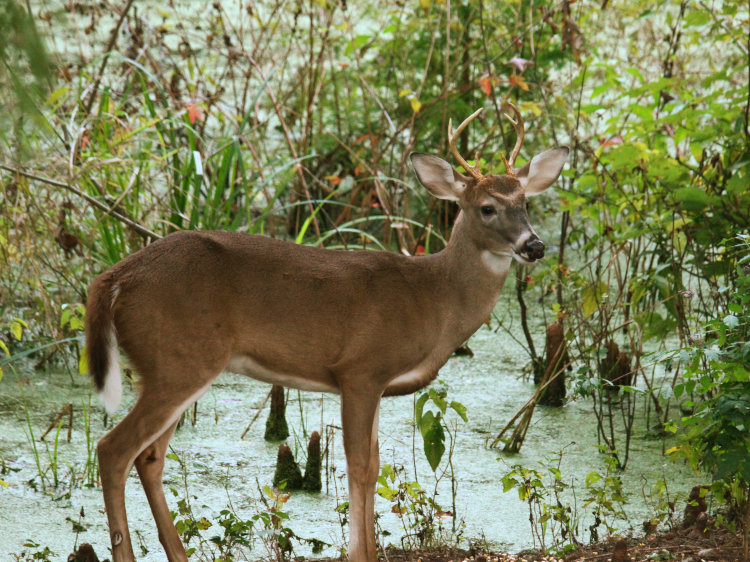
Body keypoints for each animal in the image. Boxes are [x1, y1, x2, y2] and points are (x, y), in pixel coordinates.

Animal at [84, 104, 568, 562]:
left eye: (526, 203)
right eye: (487, 208)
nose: (534, 245)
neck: (433, 297)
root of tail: (112, 279)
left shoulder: (375, 382)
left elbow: (373, 464)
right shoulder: (361, 369)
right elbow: (361, 466)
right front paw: (362, 554)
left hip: (175, 365)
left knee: (149, 457)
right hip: (176, 361)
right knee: (113, 450)